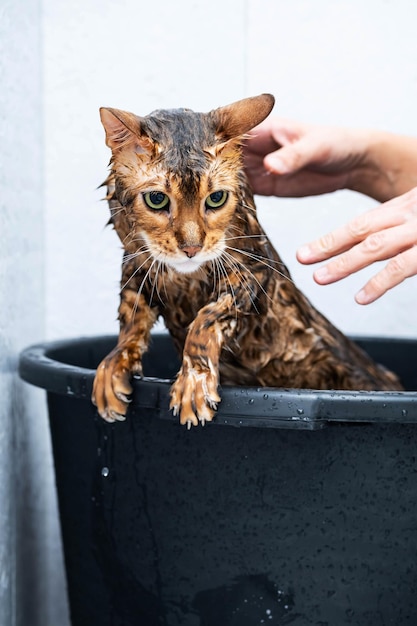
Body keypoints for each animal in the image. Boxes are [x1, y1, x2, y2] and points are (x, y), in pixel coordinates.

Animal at [92, 92, 404, 426]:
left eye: (216, 198)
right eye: (157, 199)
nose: (192, 248)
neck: (185, 279)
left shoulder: (253, 273)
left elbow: (208, 318)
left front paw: (194, 381)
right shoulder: (136, 269)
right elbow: (130, 321)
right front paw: (111, 368)